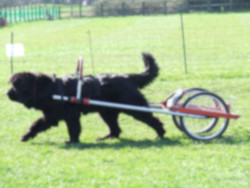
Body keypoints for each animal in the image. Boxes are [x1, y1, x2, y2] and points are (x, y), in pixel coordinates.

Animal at [6, 53, 165, 144]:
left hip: (134, 107)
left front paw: (72, 141)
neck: (47, 89)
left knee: (153, 119)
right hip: (107, 112)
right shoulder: (50, 117)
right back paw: (105, 138)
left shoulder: (71, 116)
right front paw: (26, 136)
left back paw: (160, 134)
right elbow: (36, 125)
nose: (7, 93)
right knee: (116, 129)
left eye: (14, 87)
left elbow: (73, 129)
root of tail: (127, 77)